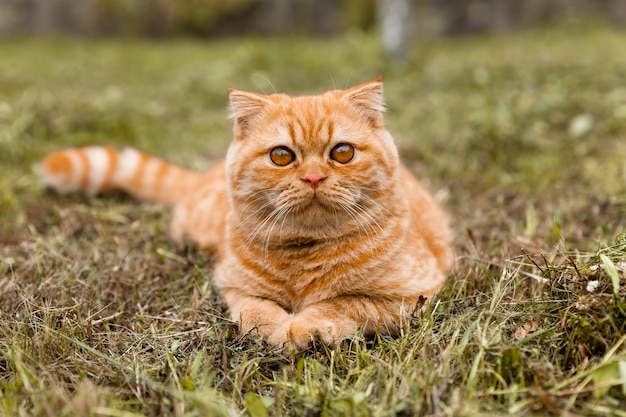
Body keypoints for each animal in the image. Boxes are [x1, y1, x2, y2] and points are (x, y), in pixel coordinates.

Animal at [41, 77, 450, 348]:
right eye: (281, 156)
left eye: (343, 152)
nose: (314, 177)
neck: (305, 252)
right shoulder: (232, 286)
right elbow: (255, 310)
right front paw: (276, 328)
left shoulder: (413, 296)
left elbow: (343, 304)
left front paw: (305, 327)